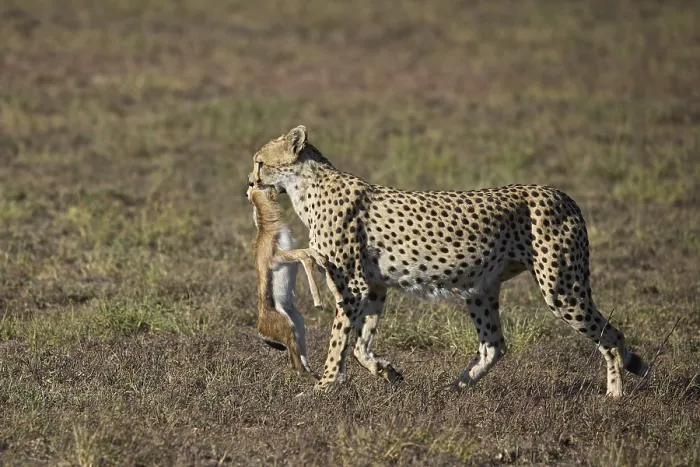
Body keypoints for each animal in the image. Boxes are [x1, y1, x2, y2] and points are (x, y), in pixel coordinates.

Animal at [248, 124, 649, 398]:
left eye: (260, 162)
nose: (250, 181)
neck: (308, 186)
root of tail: (563, 194)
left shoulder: (354, 286)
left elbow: (338, 340)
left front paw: (323, 386)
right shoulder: (374, 286)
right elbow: (361, 344)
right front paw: (387, 372)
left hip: (560, 286)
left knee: (611, 334)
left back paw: (614, 395)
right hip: (482, 288)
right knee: (494, 345)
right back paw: (453, 387)